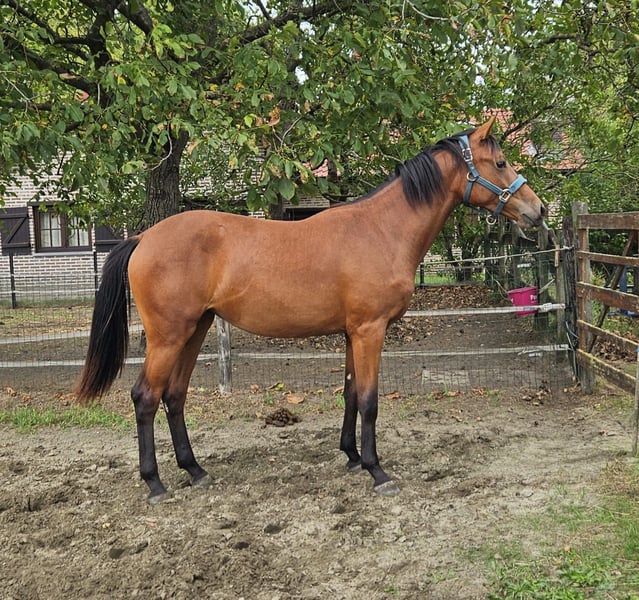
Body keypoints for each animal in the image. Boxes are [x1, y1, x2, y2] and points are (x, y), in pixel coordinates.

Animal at [76, 117, 546, 503]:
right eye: (500, 162)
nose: (538, 210)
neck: (380, 230)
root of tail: (143, 238)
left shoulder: (351, 333)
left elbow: (351, 394)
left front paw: (352, 457)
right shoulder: (370, 330)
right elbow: (370, 400)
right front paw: (377, 471)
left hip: (196, 330)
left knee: (174, 397)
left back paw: (195, 470)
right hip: (168, 337)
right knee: (145, 398)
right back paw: (155, 483)